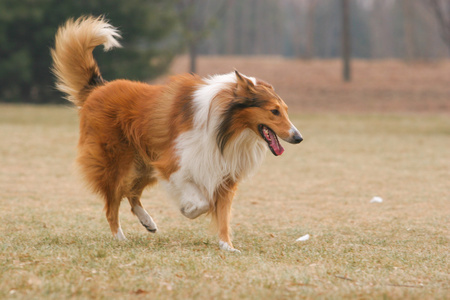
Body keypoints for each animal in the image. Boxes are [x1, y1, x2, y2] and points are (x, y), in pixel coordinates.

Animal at [50, 15, 302, 251]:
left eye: (285, 110)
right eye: (274, 111)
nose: (298, 138)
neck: (225, 125)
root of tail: (98, 87)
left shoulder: (223, 173)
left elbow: (223, 215)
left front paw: (227, 246)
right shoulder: (173, 164)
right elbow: (203, 202)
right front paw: (188, 209)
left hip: (143, 164)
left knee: (132, 195)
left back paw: (148, 222)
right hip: (118, 163)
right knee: (112, 205)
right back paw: (120, 237)